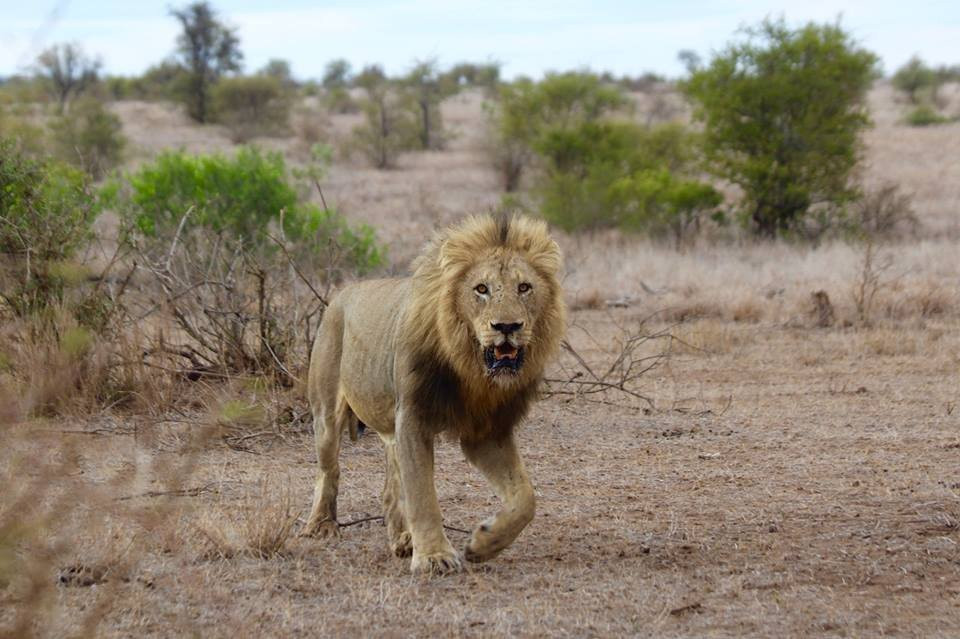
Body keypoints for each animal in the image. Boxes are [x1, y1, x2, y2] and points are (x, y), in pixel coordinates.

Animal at [304, 214, 568, 576]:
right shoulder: (413, 419)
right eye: (481, 289)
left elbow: (525, 498)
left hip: (389, 427)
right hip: (327, 413)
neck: (473, 370)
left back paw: (403, 539)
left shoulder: (487, 432)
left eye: (524, 287)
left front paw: (483, 543)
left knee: (390, 488)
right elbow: (423, 494)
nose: (507, 327)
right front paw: (434, 557)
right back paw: (322, 525)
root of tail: (341, 293)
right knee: (328, 470)